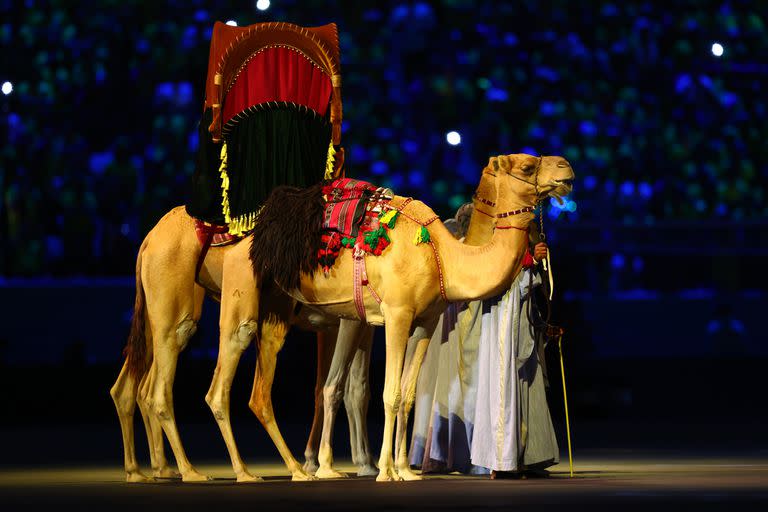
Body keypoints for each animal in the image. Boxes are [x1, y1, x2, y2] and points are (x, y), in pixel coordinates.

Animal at [220, 152, 568, 480]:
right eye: (526, 167)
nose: (566, 167)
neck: (441, 255)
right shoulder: (397, 314)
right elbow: (391, 393)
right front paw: (386, 471)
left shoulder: (426, 321)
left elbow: (409, 395)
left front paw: (405, 470)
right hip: (244, 295)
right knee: (225, 381)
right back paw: (253, 473)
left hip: (276, 310)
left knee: (258, 394)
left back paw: (295, 470)